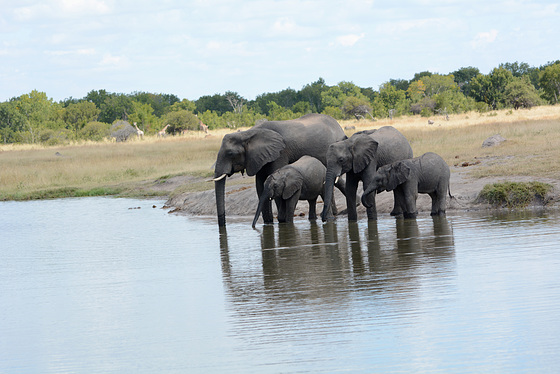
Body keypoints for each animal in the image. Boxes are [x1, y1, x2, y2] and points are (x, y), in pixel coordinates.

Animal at [213, 112, 348, 226]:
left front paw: (281, 221)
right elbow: (259, 185)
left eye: (230, 153)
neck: (248, 133)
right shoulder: (260, 157)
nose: (223, 225)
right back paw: (335, 213)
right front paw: (268, 224)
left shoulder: (280, 152)